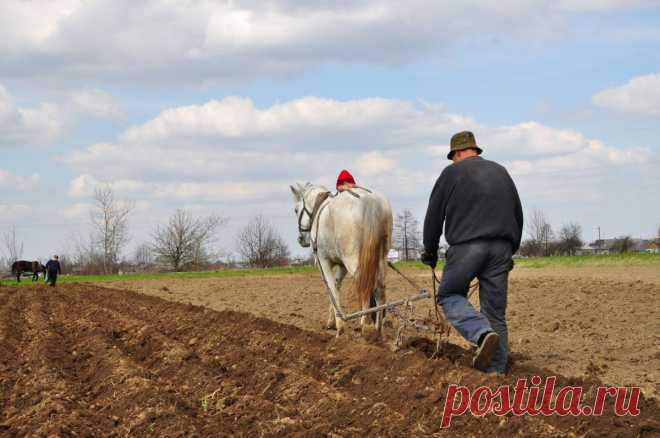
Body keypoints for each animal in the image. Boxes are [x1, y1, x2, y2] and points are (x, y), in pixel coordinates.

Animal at [290, 182, 392, 336]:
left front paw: (340, 326)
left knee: (365, 285)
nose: (301, 239)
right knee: (379, 288)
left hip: (353, 260)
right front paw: (332, 322)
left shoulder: (323, 262)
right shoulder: (342, 265)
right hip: (380, 259)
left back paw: (365, 324)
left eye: (296, 210)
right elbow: (337, 286)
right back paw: (378, 329)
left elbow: (331, 288)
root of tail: (370, 201)